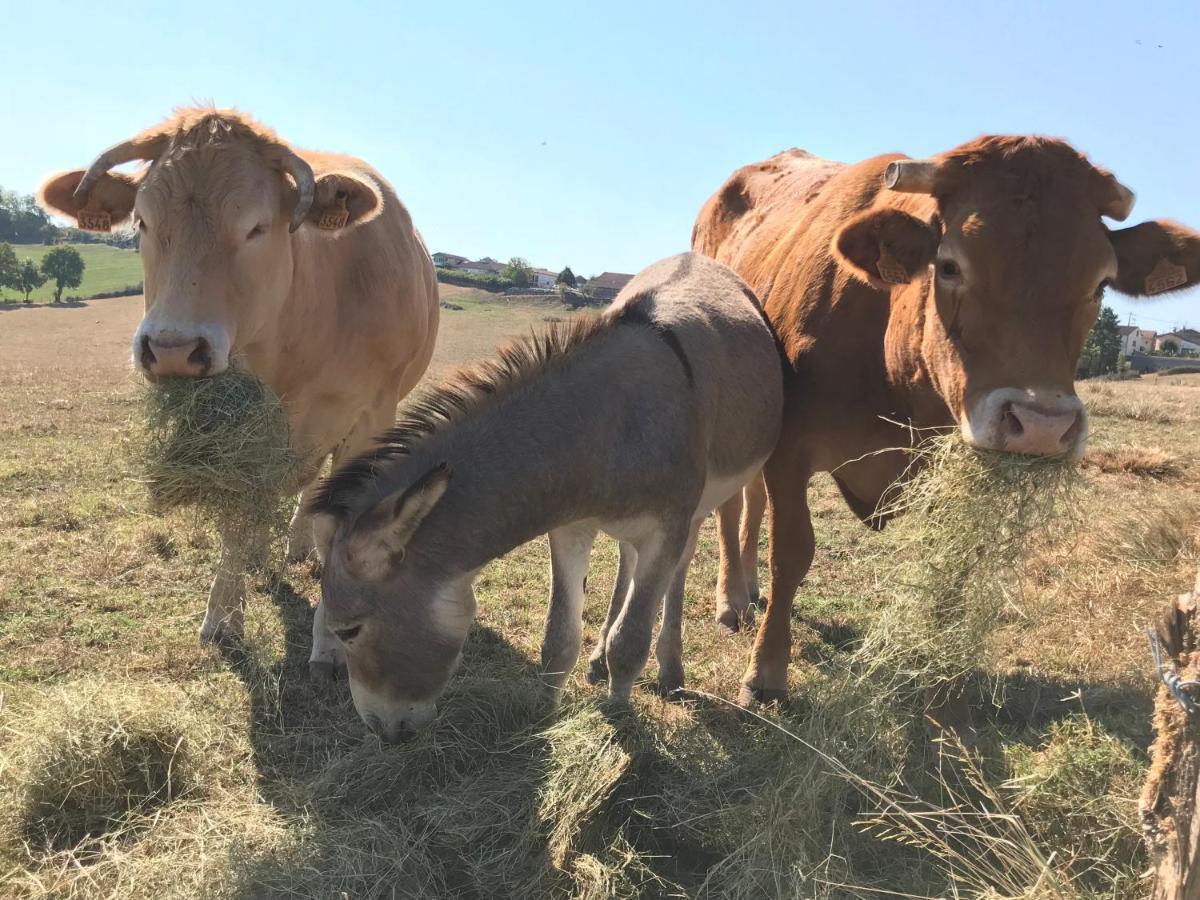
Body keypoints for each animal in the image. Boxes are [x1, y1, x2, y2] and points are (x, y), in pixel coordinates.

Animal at [36, 105, 441, 676]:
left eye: (256, 227)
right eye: (142, 221)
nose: (172, 348)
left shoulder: (371, 418)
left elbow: (340, 522)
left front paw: (331, 642)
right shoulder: (240, 434)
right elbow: (235, 519)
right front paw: (224, 617)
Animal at [696, 139, 1200, 705]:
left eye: (1101, 284)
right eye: (950, 266)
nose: (1041, 424)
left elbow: (947, 562)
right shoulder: (790, 450)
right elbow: (792, 552)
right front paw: (765, 672)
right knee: (732, 506)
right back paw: (732, 597)